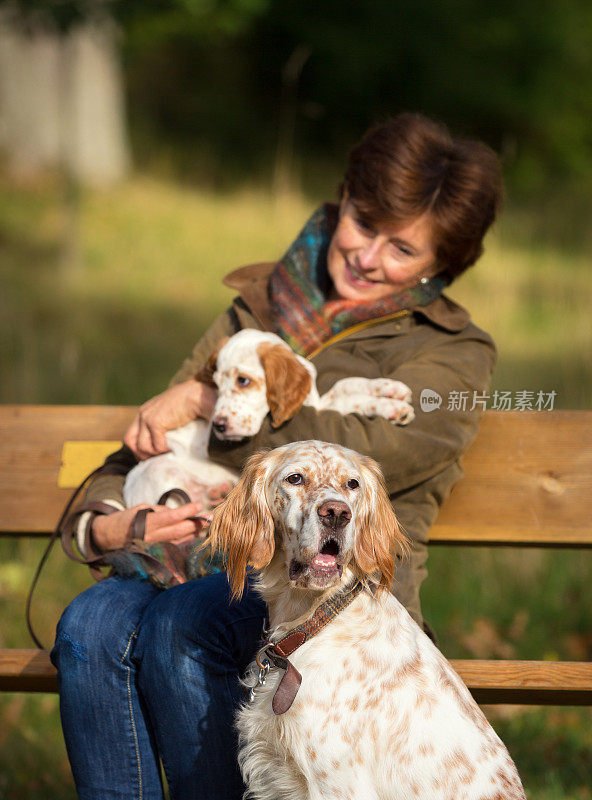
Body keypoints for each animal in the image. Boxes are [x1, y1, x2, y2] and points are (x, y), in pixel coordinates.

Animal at [122, 330, 414, 506]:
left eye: (243, 381)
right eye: (215, 384)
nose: (219, 426)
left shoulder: (317, 403)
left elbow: (345, 387)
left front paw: (390, 391)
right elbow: (345, 394)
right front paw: (390, 404)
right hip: (161, 473)